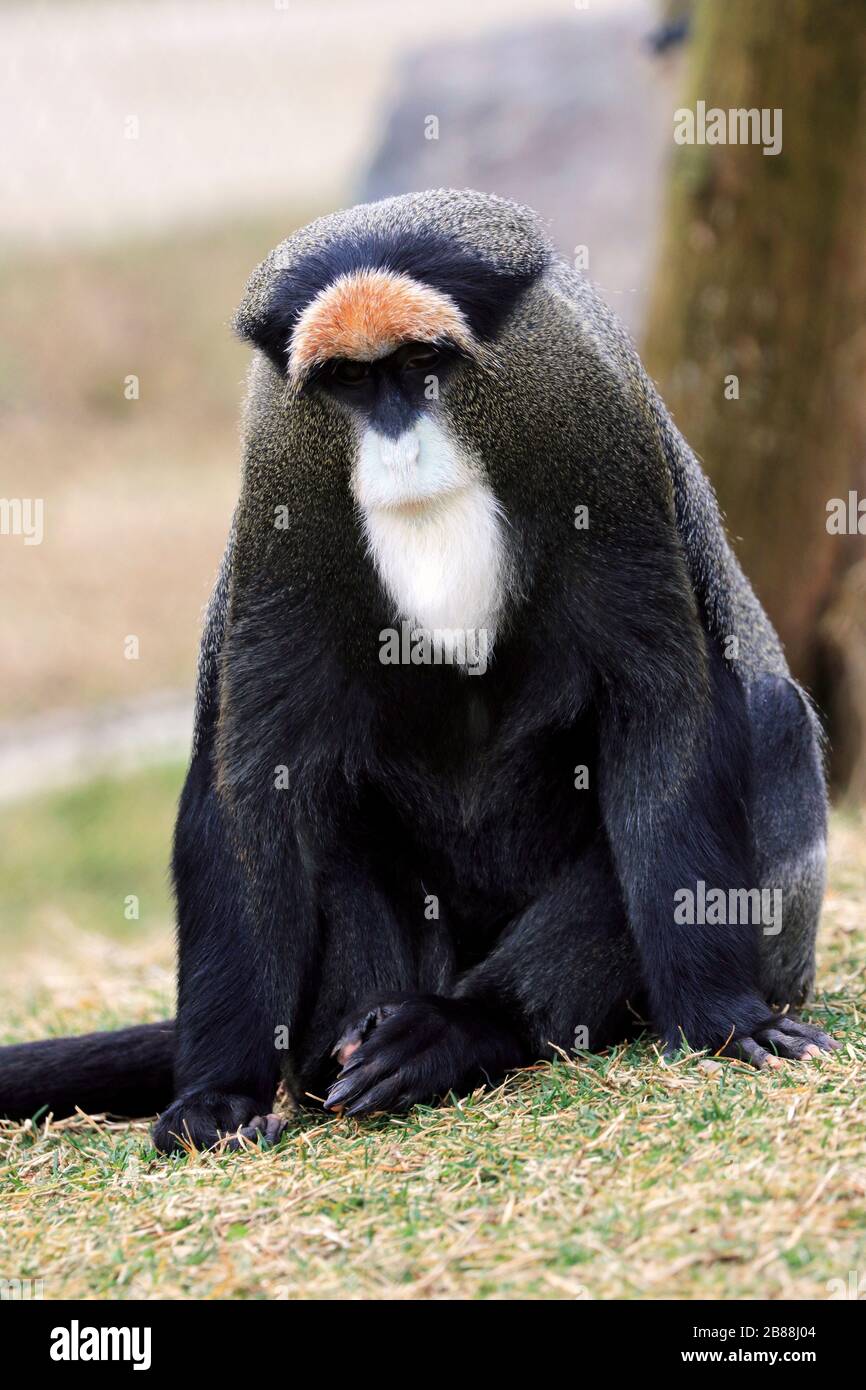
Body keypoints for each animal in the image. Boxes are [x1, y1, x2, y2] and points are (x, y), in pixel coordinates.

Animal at [0, 190, 839, 1156]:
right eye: (350, 380)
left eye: (420, 364)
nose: (398, 443)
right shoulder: (281, 519)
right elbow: (251, 779)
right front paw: (216, 1094)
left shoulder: (606, 448)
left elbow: (665, 716)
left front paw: (724, 1020)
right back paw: (356, 1043)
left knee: (770, 726)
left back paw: (458, 1031)